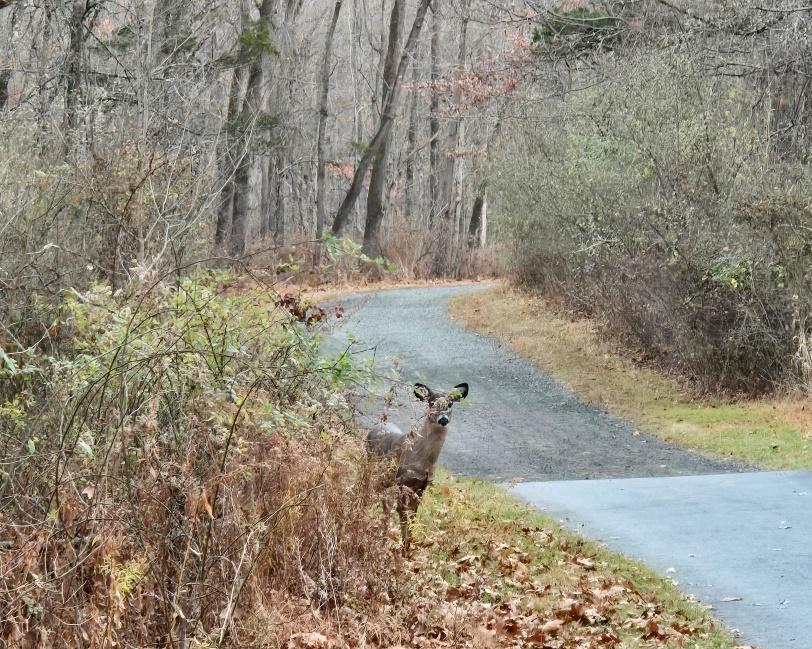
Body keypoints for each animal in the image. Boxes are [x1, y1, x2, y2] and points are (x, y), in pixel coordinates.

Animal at [368, 380, 470, 552]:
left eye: (450, 404)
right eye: (431, 403)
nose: (443, 419)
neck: (422, 461)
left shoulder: (422, 485)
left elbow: (413, 515)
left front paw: (408, 547)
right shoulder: (402, 481)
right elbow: (403, 514)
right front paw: (403, 550)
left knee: (384, 504)